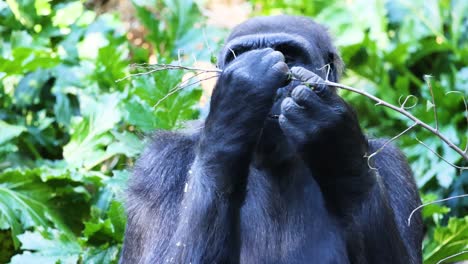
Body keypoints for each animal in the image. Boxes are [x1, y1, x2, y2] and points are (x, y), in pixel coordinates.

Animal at [121, 15, 424, 262]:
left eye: (289, 57)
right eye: (240, 56)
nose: (277, 89)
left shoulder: (391, 163)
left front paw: (339, 150)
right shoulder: (159, 165)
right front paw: (237, 104)